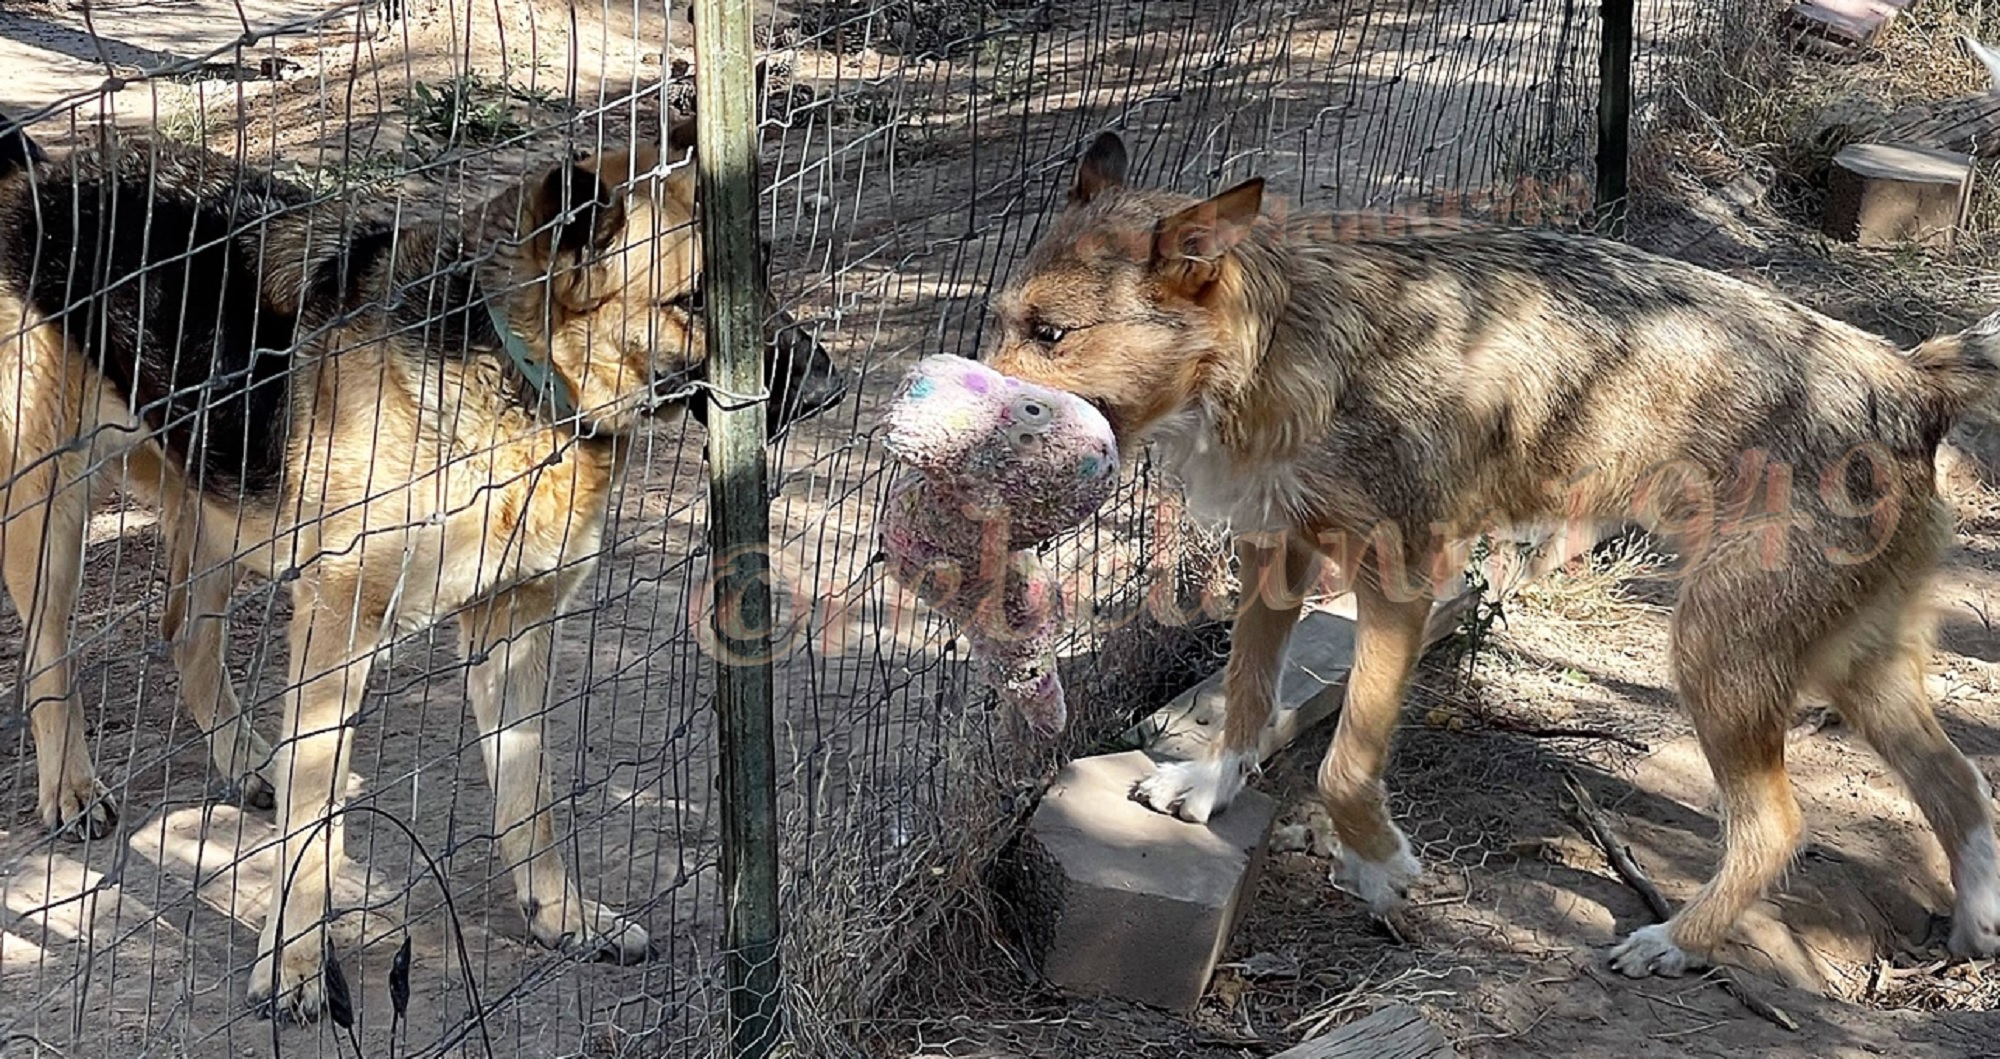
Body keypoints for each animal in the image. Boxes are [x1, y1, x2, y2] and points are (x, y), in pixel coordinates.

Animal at [0, 111, 844, 1019]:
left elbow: (530, 799)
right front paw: (294, 965)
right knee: (49, 658)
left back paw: (245, 761)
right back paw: (72, 788)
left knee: (188, 632)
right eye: (691, 302)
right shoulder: (336, 633)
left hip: (220, 501)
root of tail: (37, 173)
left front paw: (561, 915)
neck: (515, 369)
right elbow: (314, 822)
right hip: (50, 513)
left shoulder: (515, 630)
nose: (830, 389)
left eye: (761, 273)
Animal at [984, 131, 2000, 979]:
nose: (960, 417)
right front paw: (1210, 786)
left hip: (1714, 655)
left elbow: (1341, 768)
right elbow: (1243, 701)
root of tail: (1913, 377)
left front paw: (1382, 870)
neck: (1289, 344)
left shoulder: (1398, 585)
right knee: (1963, 783)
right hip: (1846, 669)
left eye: (1051, 334)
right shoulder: (1273, 558)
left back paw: (1675, 941)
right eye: (1003, 321)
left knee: (1780, 826)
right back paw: (1976, 925)